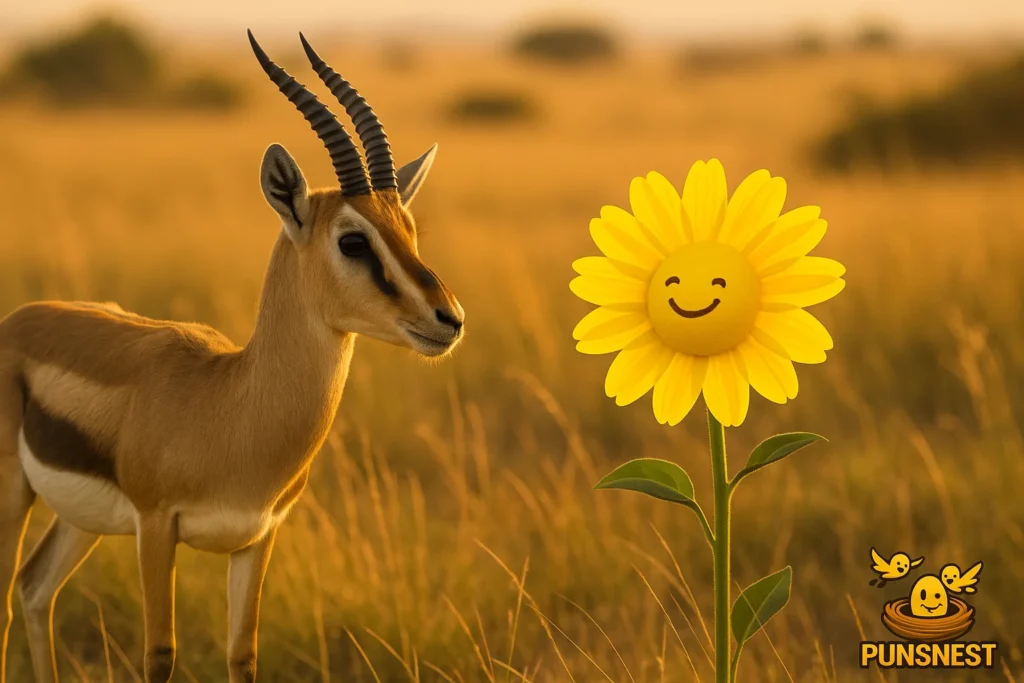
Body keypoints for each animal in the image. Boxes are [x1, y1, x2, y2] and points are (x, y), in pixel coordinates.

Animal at [0, 31, 464, 683]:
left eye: (408, 229)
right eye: (353, 240)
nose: (449, 318)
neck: (232, 408)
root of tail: (19, 319)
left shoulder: (255, 539)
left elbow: (242, 654)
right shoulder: (155, 528)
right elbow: (160, 655)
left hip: (77, 522)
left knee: (36, 588)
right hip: (13, 493)